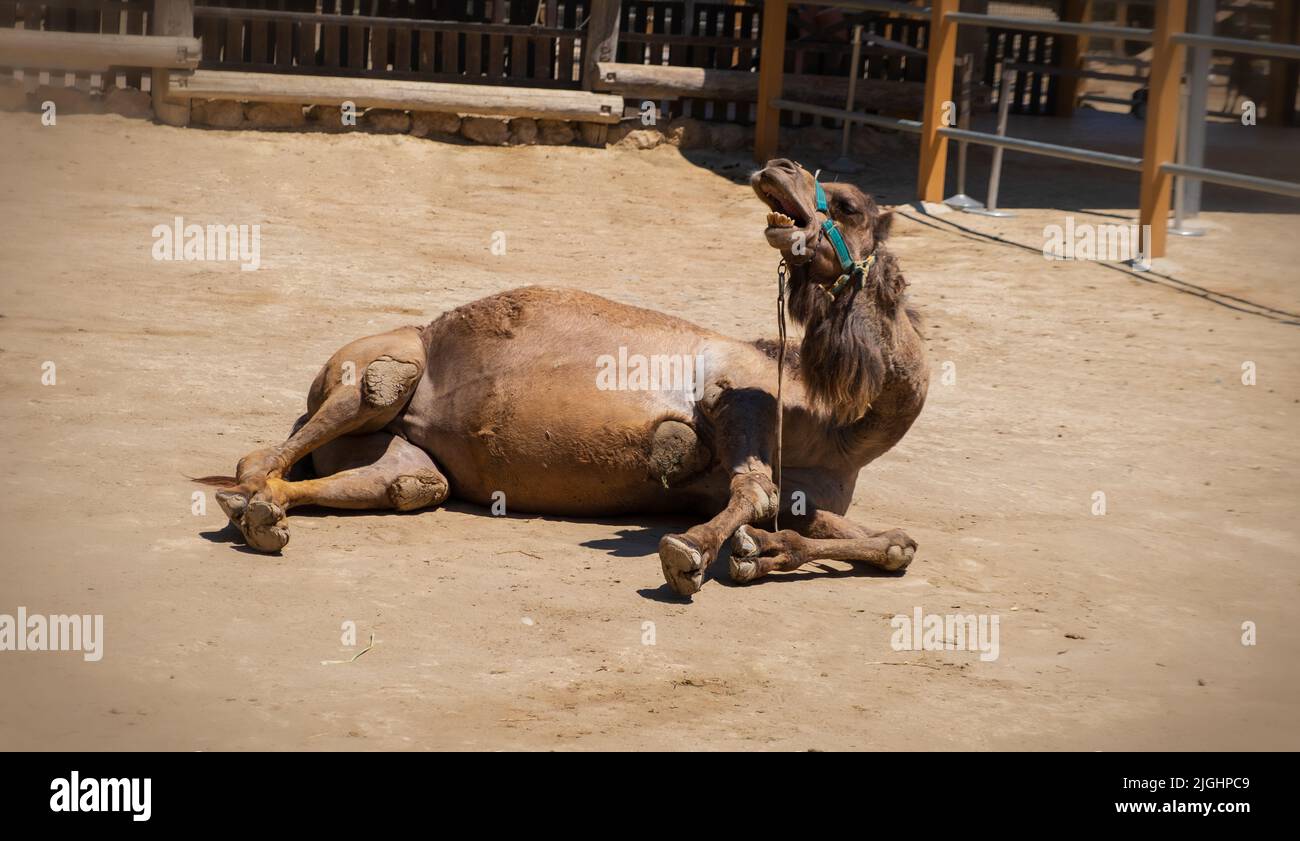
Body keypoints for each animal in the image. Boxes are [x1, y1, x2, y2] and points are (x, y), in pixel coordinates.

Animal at [199, 158, 929, 597]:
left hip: (404, 456)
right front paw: (689, 555)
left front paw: (763, 552)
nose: (779, 166)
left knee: (406, 483)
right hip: (380, 366)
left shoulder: (800, 490)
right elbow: (754, 487)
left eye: (847, 204)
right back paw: (246, 509)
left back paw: (265, 517)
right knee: (298, 433)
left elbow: (890, 540)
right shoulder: (735, 396)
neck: (837, 430)